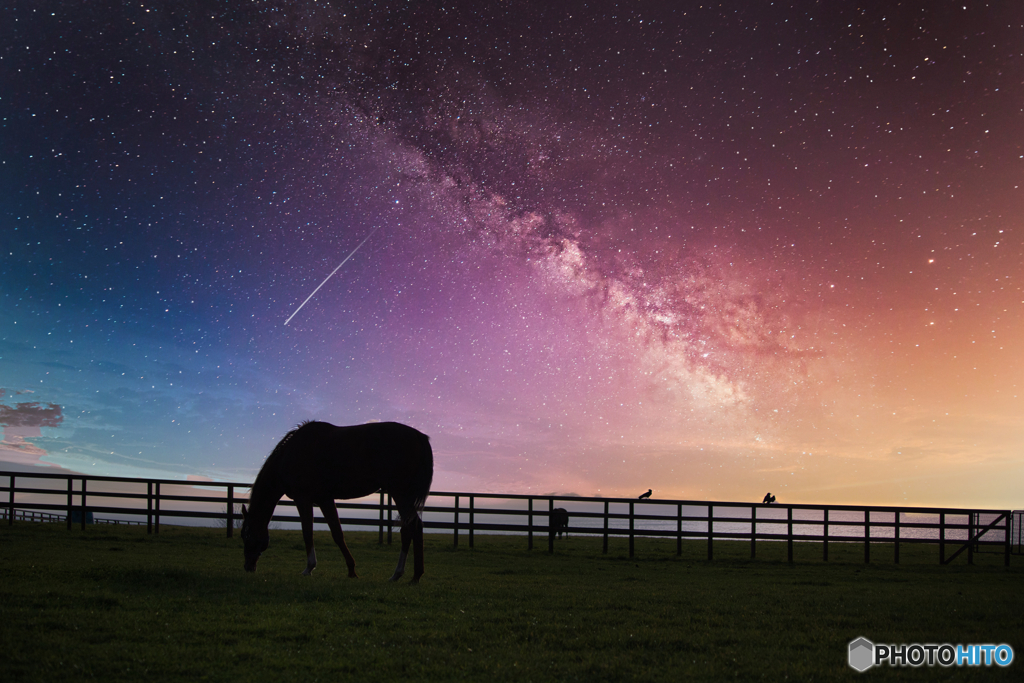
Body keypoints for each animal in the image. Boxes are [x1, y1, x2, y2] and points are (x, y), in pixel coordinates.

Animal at [241, 421, 434, 581]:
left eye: (246, 536)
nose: (248, 567)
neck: (290, 454)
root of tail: (418, 436)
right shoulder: (325, 499)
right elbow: (337, 534)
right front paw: (351, 570)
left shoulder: (303, 499)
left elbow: (307, 532)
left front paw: (309, 568)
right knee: (415, 527)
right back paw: (415, 575)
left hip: (400, 493)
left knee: (409, 528)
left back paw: (399, 574)